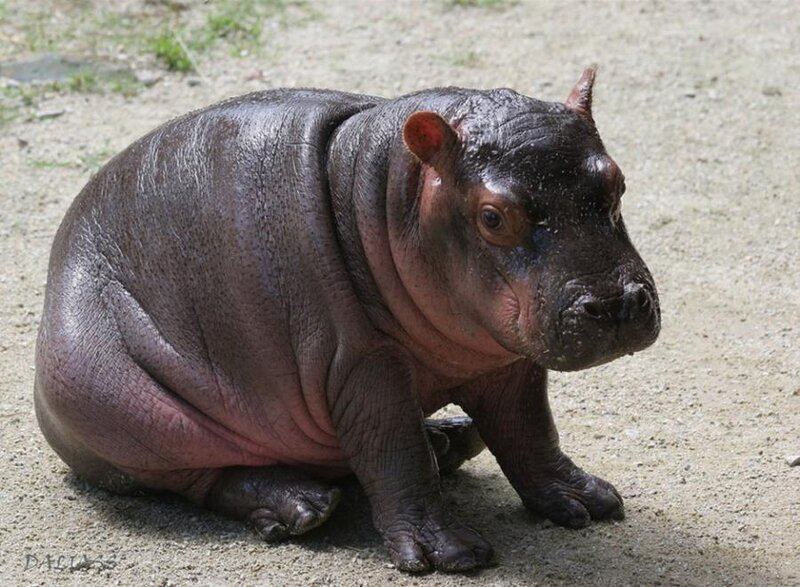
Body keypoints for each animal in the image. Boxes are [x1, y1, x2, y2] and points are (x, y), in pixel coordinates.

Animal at [34, 67, 660, 572]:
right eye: (492, 216)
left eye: (618, 181)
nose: (615, 304)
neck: (389, 193)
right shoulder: (360, 362)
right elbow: (394, 452)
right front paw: (450, 556)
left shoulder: (506, 355)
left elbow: (529, 429)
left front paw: (589, 501)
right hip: (117, 401)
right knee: (198, 475)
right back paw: (302, 507)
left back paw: (449, 439)